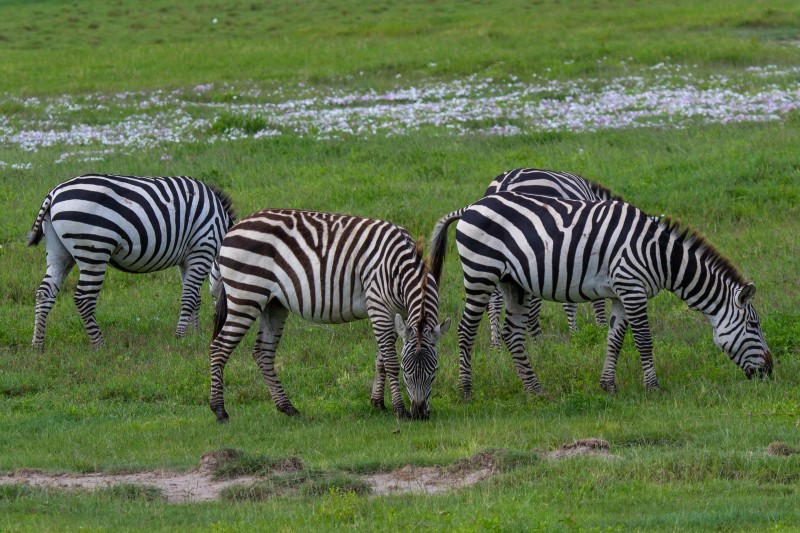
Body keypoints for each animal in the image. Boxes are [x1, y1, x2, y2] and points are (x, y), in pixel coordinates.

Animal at [25, 172, 238, 348]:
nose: (218, 326)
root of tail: (54, 193)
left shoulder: (187, 258)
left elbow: (195, 298)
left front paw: (195, 335)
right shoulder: (202, 249)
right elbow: (189, 297)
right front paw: (182, 337)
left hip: (59, 252)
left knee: (45, 293)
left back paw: (38, 345)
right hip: (94, 251)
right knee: (84, 298)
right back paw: (100, 345)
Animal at [211, 208, 450, 420]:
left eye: (434, 371)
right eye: (406, 372)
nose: (419, 414)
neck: (400, 268)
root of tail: (234, 228)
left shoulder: (397, 312)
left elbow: (381, 358)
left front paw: (377, 402)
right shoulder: (379, 305)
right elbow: (389, 360)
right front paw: (399, 410)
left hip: (273, 304)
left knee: (263, 353)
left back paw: (287, 407)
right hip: (246, 296)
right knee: (219, 347)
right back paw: (219, 411)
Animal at [428, 190, 772, 394]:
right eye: (754, 325)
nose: (770, 371)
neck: (659, 255)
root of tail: (470, 207)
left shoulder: (621, 293)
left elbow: (614, 339)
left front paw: (608, 385)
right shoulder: (633, 288)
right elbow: (644, 340)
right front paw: (653, 387)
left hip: (512, 283)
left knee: (513, 334)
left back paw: (534, 389)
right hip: (480, 273)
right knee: (465, 331)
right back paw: (466, 389)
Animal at [482, 167, 624, 350]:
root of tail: (505, 183)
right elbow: (587, 300)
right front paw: (592, 331)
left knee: (494, 301)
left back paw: (496, 347)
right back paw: (538, 343)